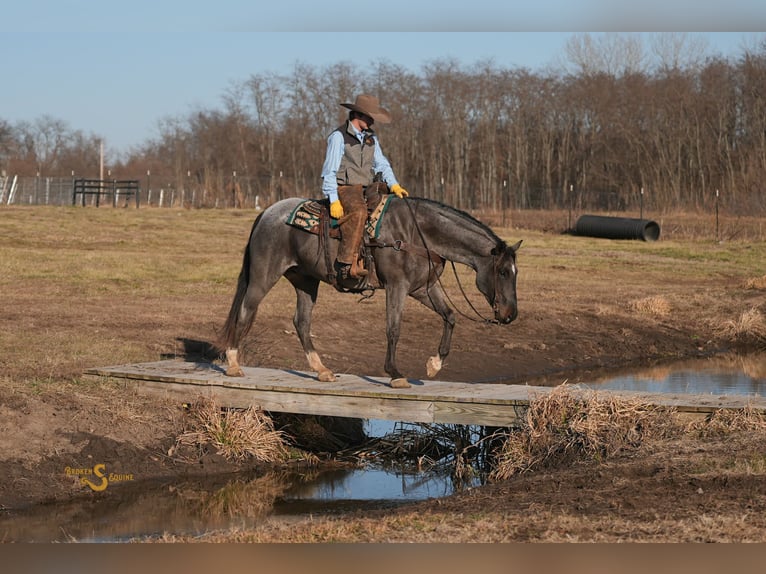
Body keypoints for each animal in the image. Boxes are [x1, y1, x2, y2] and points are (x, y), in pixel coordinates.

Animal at [219, 195, 521, 389]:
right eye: (503, 272)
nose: (510, 314)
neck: (417, 233)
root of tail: (267, 213)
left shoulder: (423, 288)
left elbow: (450, 316)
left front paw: (434, 365)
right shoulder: (397, 286)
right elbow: (393, 328)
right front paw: (395, 374)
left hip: (306, 281)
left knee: (301, 322)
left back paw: (322, 370)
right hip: (264, 276)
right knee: (245, 310)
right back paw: (233, 364)